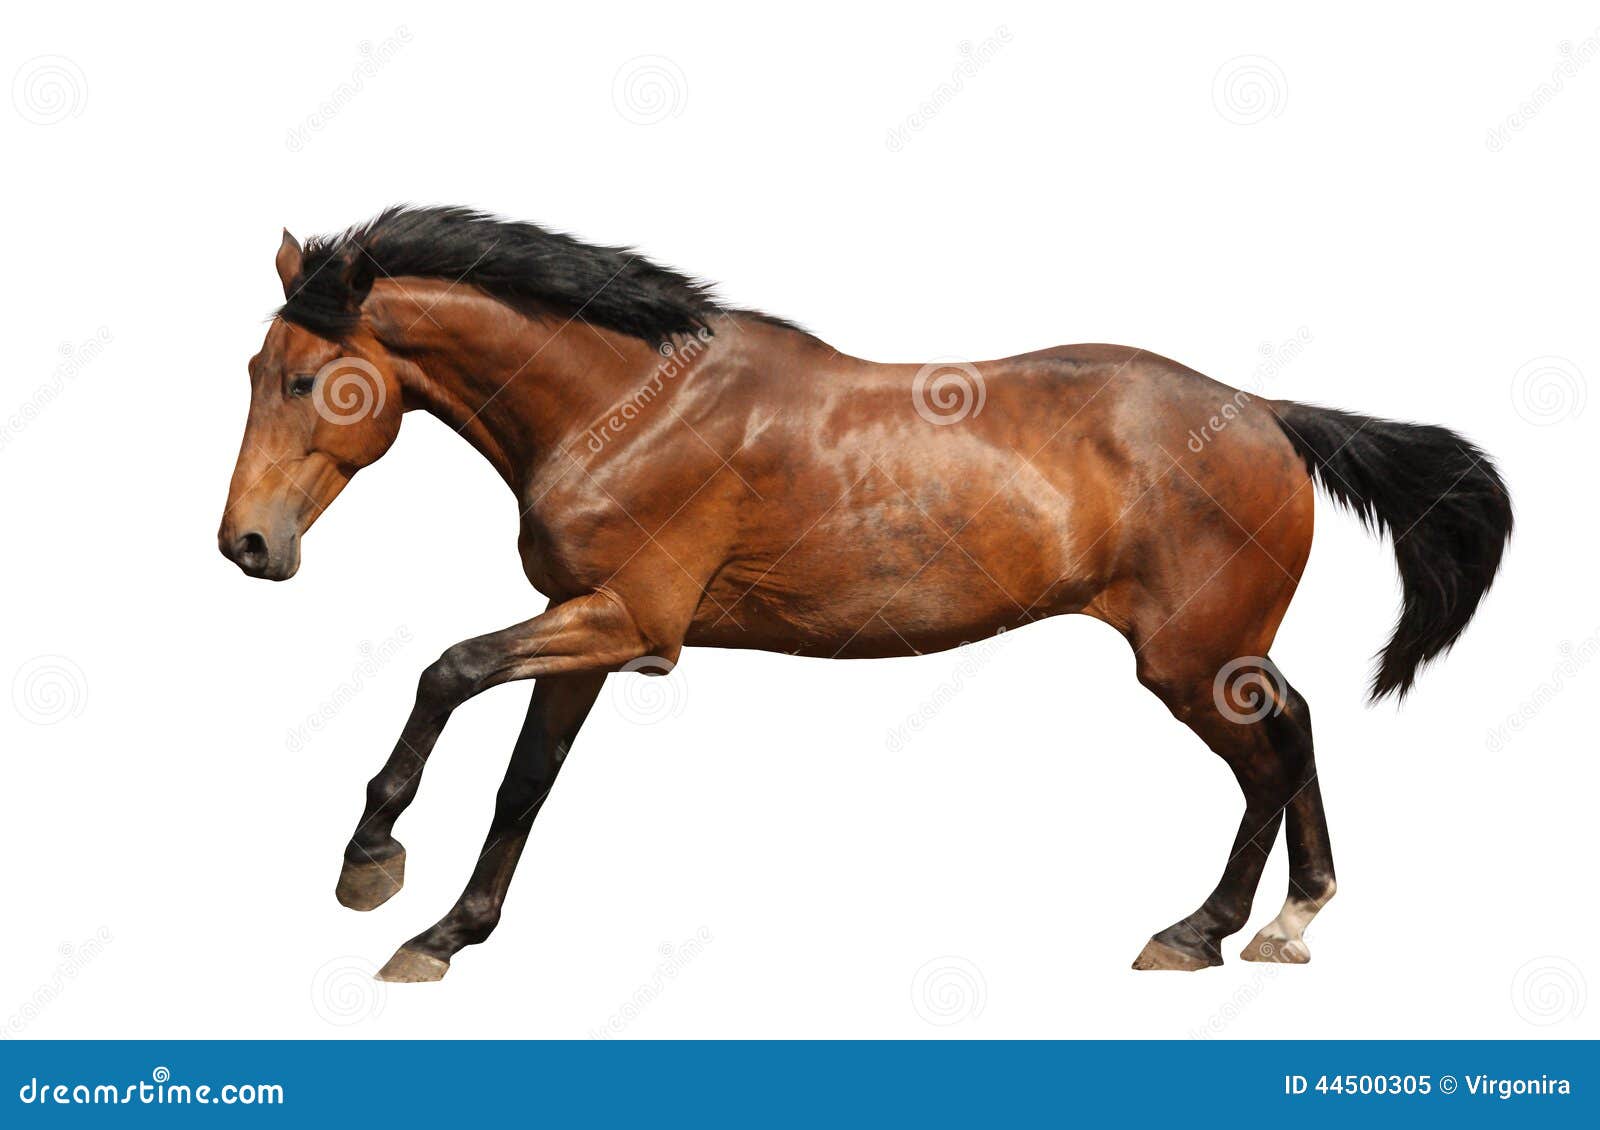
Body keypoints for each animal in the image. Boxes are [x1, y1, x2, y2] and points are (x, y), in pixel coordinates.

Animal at [219, 206, 1512, 982]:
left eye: (307, 379)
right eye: (251, 369)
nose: (245, 544)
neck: (625, 406)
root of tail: (1267, 415)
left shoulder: (630, 625)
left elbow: (445, 671)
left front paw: (369, 864)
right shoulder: (588, 634)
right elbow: (523, 786)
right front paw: (446, 931)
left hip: (1189, 658)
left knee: (1268, 755)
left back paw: (1205, 928)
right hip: (1218, 651)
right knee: (1294, 731)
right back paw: (1282, 922)